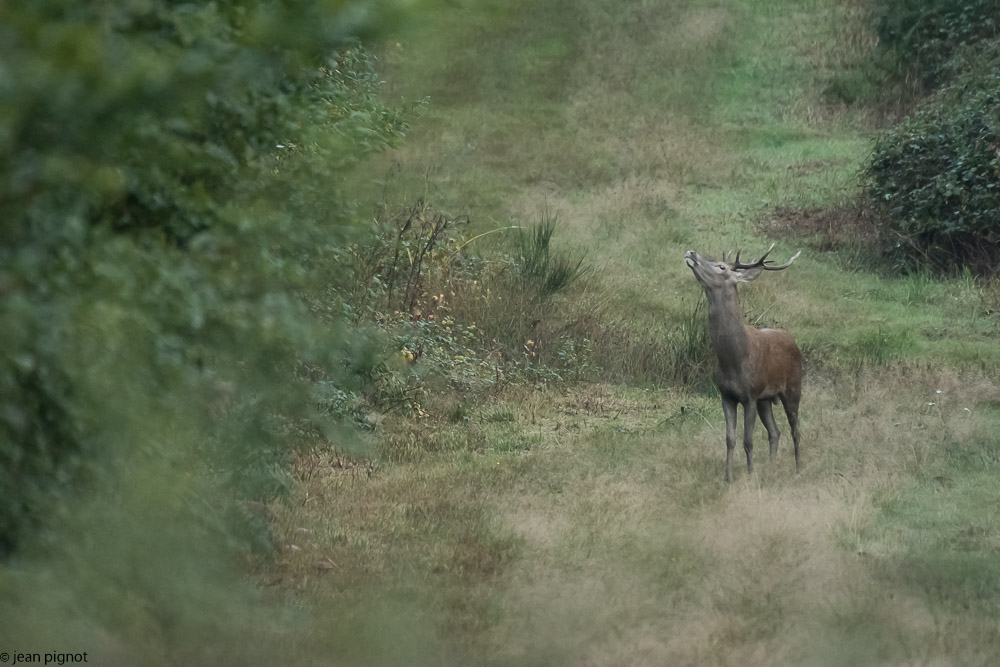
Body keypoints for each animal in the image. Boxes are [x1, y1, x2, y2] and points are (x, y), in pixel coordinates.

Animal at [688, 244, 804, 480]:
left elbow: (748, 440)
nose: (691, 253)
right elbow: (730, 439)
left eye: (721, 267)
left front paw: (749, 475)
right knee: (775, 432)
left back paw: (798, 468)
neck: (734, 359)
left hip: (793, 388)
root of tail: (793, 340)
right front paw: (728, 477)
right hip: (766, 400)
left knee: (795, 430)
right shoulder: (727, 396)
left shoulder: (750, 394)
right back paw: (771, 468)